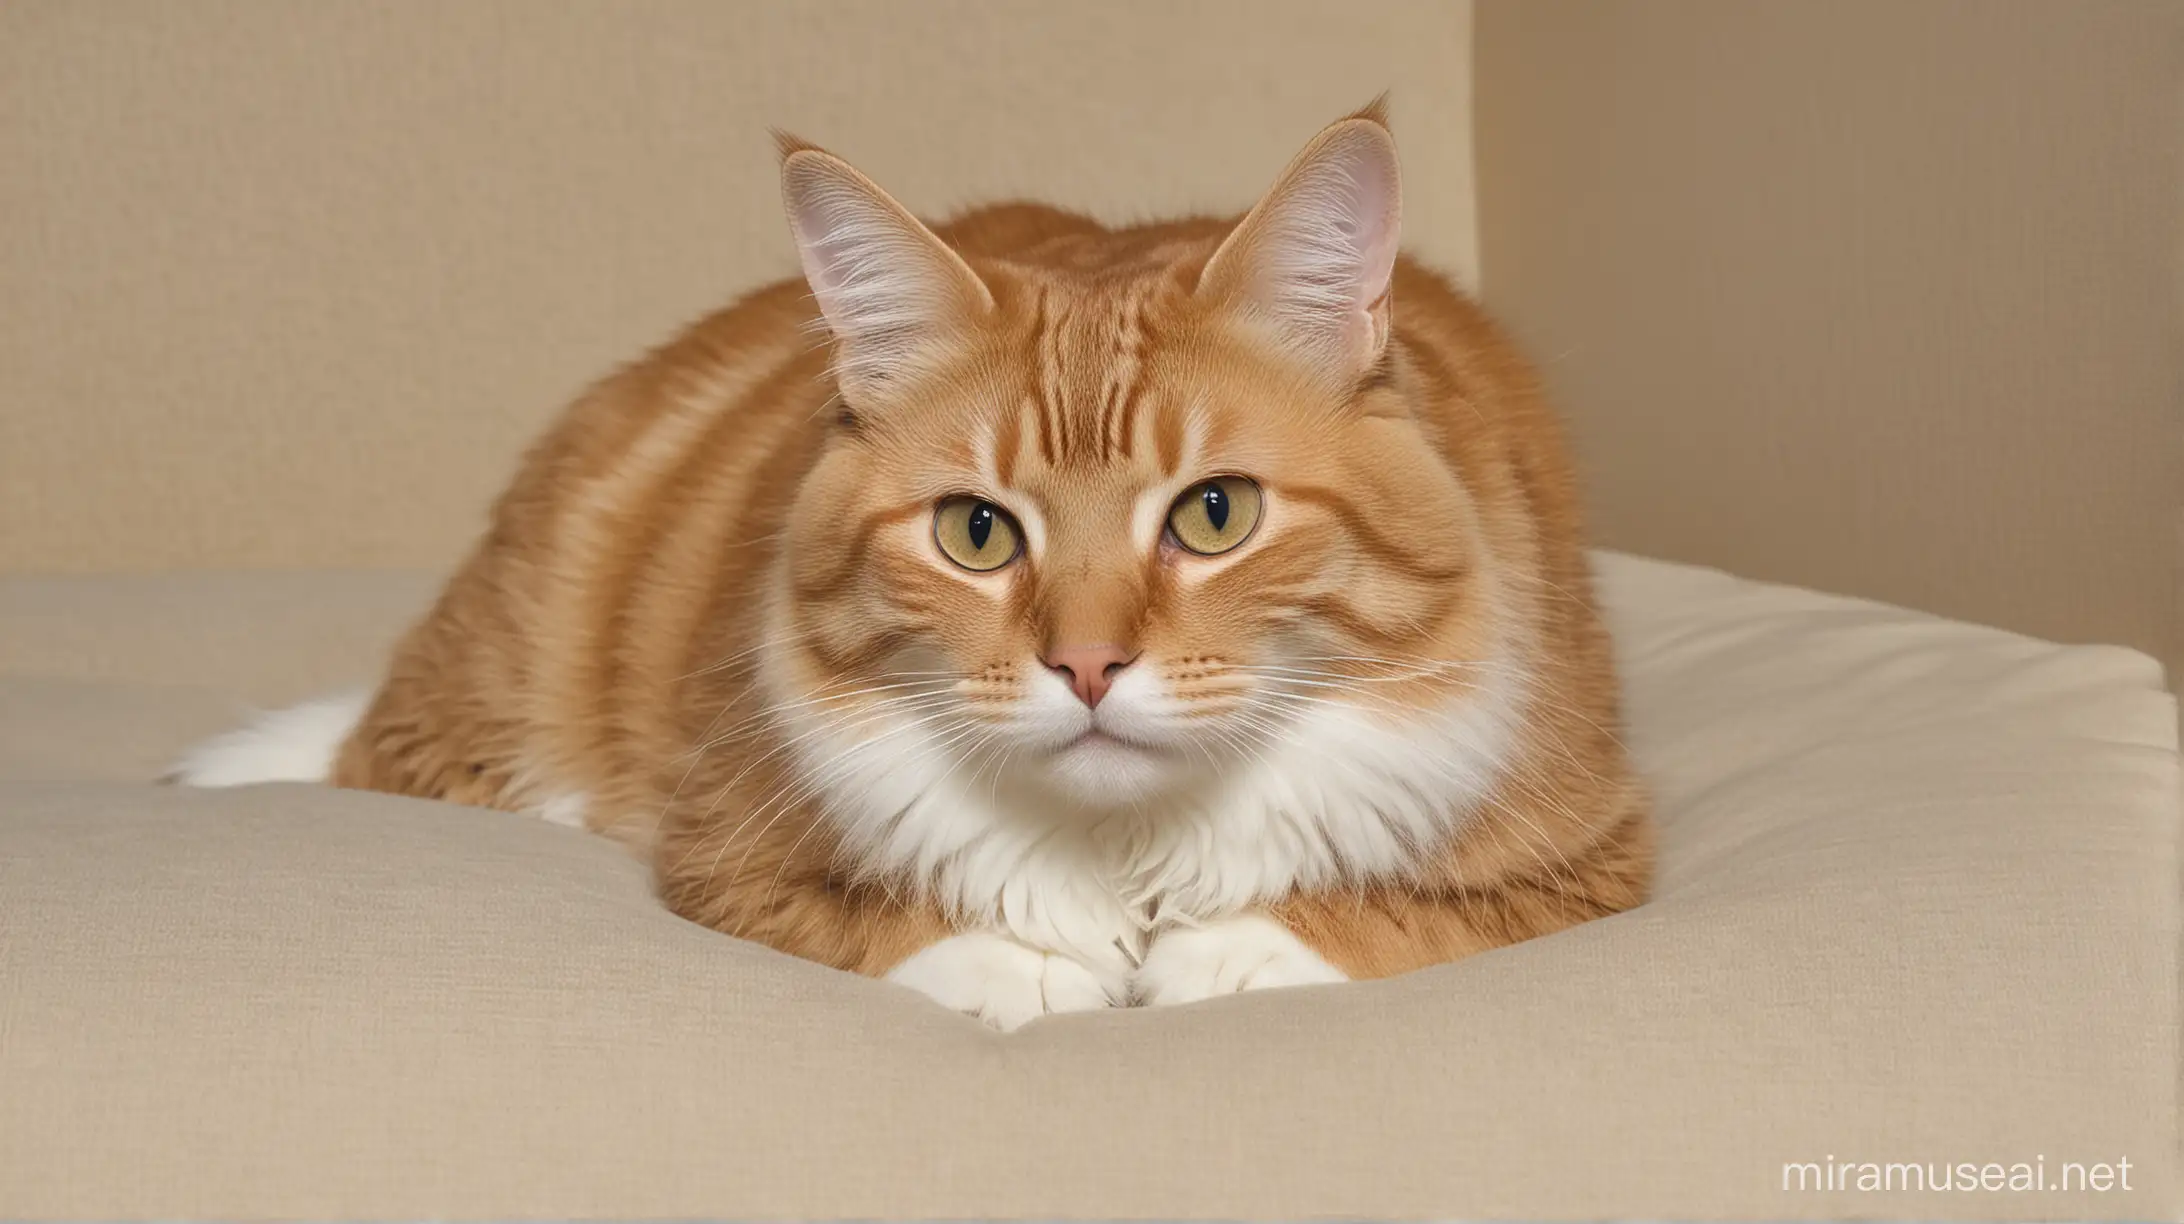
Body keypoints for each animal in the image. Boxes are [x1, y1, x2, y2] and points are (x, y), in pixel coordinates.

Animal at [183, 104, 1651, 1027]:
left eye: (1215, 514)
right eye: (976, 533)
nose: (1086, 665)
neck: (1126, 848)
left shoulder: (1593, 855)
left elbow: (1362, 919)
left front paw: (1214, 960)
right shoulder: (721, 852)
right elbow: (930, 933)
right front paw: (1041, 972)